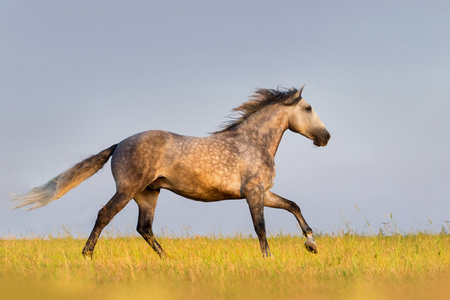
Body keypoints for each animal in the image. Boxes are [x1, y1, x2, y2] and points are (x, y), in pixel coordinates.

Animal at [13, 85, 330, 258]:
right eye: (309, 108)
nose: (326, 137)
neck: (251, 142)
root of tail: (119, 145)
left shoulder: (264, 192)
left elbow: (293, 206)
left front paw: (311, 244)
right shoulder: (253, 193)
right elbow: (260, 227)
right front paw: (268, 257)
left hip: (148, 195)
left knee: (144, 228)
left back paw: (168, 258)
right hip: (128, 189)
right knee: (105, 215)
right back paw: (87, 255)